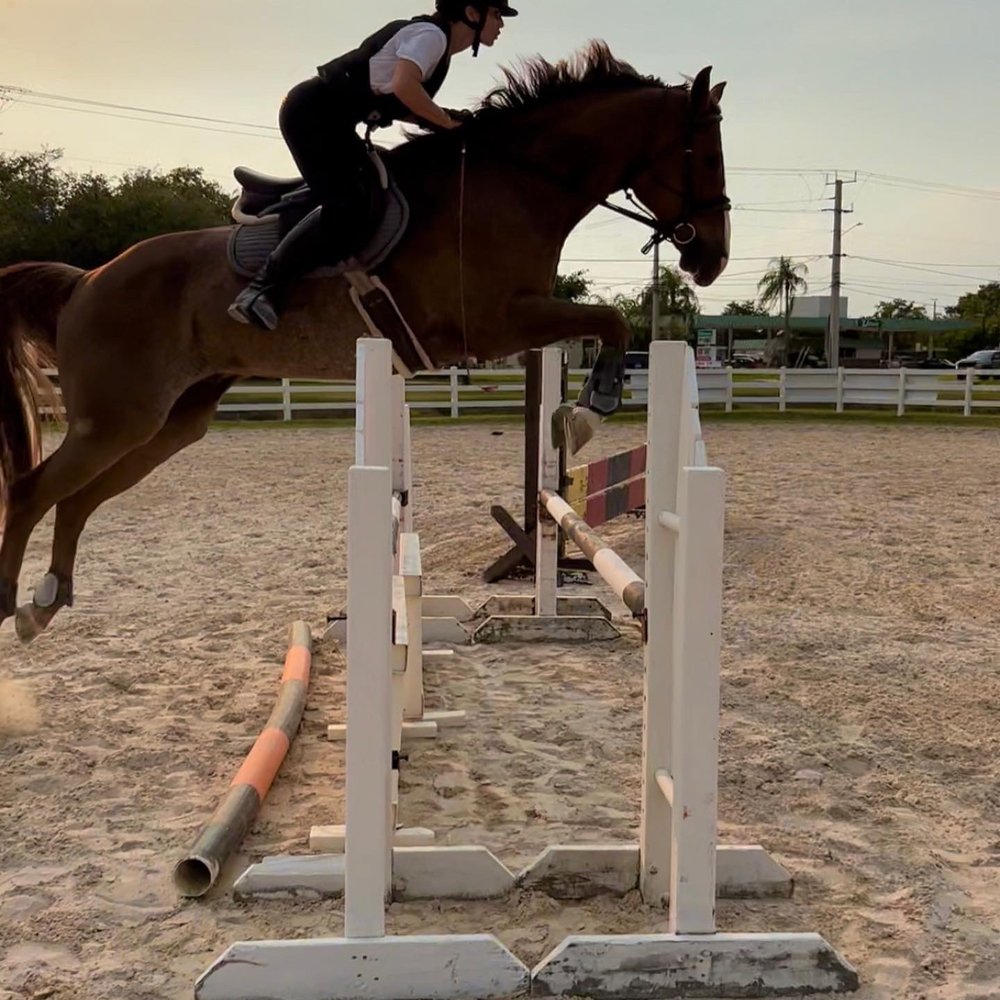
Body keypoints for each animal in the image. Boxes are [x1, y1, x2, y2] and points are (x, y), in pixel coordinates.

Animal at [0, 42, 730, 642]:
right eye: (705, 154)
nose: (713, 260)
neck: (516, 184)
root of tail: (88, 279)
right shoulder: (495, 323)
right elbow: (611, 320)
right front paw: (590, 408)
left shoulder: (516, 321)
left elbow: (608, 323)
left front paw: (579, 412)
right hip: (118, 417)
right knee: (34, 490)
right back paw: (12, 602)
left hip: (172, 422)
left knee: (77, 498)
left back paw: (46, 600)